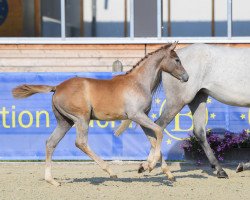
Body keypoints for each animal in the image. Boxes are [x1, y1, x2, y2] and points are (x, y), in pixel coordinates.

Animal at [11, 43, 188, 186]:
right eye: (177, 60)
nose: (186, 77)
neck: (138, 82)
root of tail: (57, 87)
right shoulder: (136, 115)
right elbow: (159, 132)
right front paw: (149, 166)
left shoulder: (142, 116)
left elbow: (153, 139)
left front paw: (160, 171)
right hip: (81, 118)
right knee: (80, 143)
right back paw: (110, 171)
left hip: (65, 122)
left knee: (50, 143)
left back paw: (51, 180)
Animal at [116, 43, 250, 178]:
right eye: (177, 61)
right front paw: (242, 166)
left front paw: (242, 166)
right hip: (178, 101)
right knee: (159, 125)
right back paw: (151, 165)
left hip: (198, 98)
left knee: (199, 132)